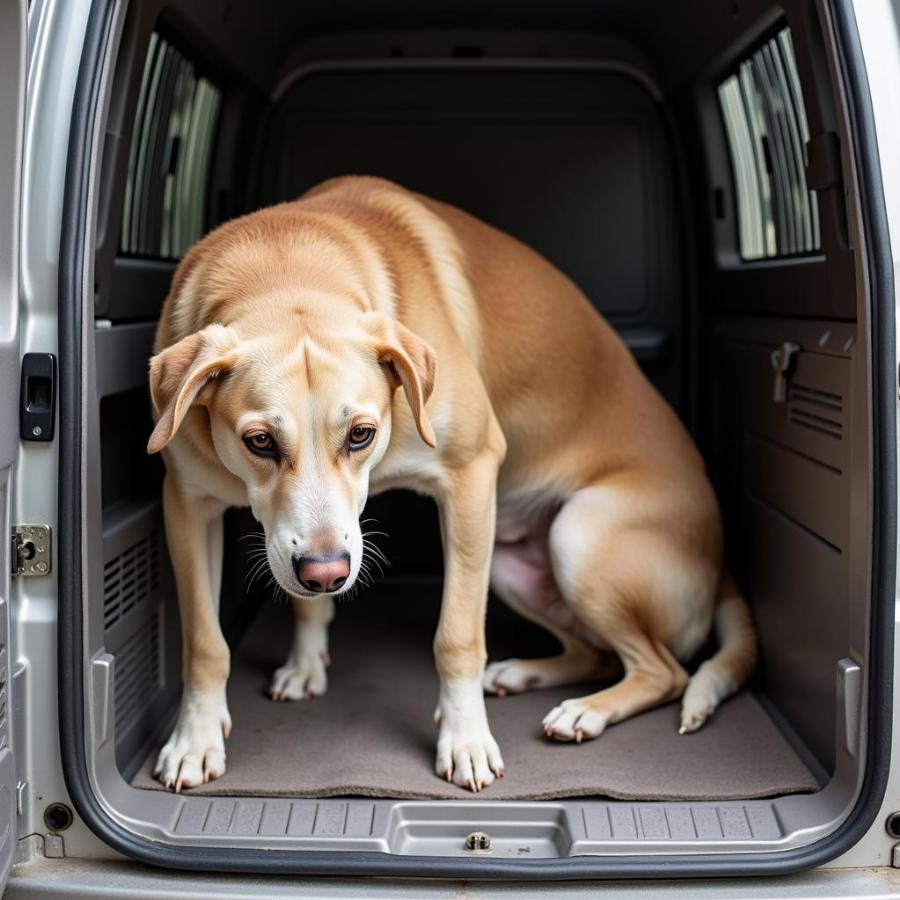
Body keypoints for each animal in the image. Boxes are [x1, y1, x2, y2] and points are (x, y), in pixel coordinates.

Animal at [149, 176, 760, 796]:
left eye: (362, 433)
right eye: (260, 442)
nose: (326, 574)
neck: (284, 260)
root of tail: (719, 563)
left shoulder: (471, 478)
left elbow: (458, 637)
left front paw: (465, 740)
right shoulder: (187, 506)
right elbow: (206, 642)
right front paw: (203, 733)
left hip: (576, 536)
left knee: (664, 671)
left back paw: (585, 710)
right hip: (512, 567)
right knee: (599, 655)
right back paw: (523, 673)